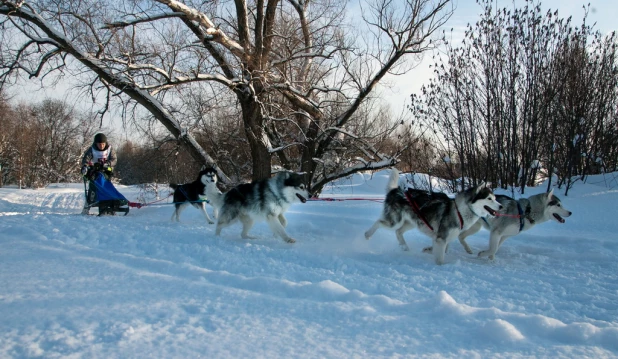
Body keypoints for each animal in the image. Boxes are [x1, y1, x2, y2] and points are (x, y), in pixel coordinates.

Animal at [364, 169, 502, 264]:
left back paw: (404, 247)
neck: (460, 211)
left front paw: (428, 250)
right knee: (379, 222)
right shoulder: (441, 237)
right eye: (489, 199)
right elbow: (440, 258)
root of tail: (395, 190)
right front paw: (440, 264)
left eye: (495, 198)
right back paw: (367, 235)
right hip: (395, 220)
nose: (501, 206)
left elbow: (440, 248)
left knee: (398, 232)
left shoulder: (442, 238)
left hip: (412, 222)